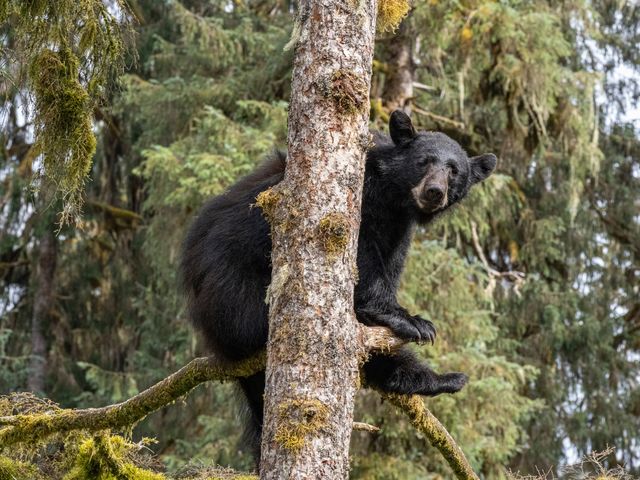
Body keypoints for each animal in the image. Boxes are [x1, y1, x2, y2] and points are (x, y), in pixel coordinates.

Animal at [181, 110, 497, 458]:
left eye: (454, 170)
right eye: (424, 161)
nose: (434, 192)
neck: (393, 198)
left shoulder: (399, 229)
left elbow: (391, 266)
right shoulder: (363, 200)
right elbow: (362, 258)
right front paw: (407, 319)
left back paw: (442, 379)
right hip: (237, 293)